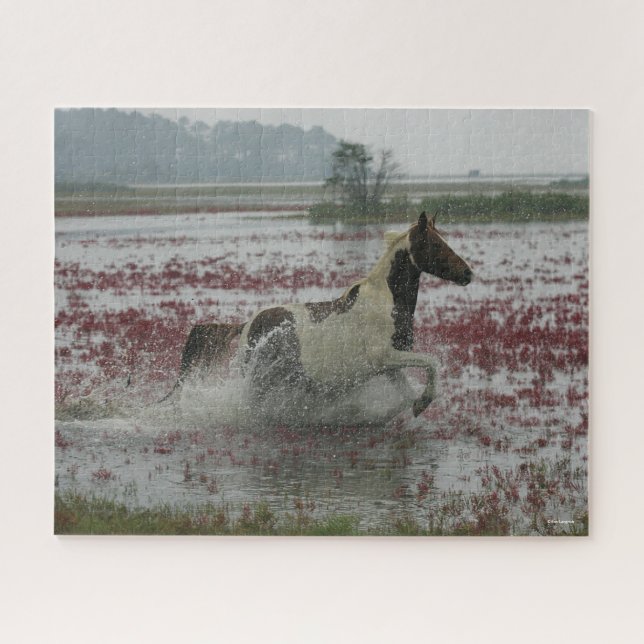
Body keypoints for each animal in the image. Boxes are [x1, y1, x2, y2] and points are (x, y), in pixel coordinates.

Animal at [163, 211, 472, 418]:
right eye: (435, 244)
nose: (467, 273)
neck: (386, 303)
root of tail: (246, 326)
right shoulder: (384, 356)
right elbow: (431, 363)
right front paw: (423, 402)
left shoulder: (390, 366)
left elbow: (407, 392)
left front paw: (416, 405)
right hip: (259, 381)